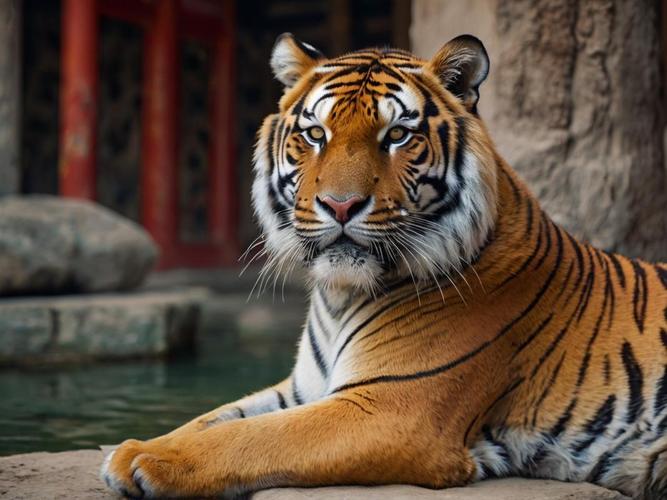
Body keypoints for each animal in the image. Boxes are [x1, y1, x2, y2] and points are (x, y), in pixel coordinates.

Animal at [101, 33, 667, 499]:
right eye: (315, 134)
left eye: (397, 136)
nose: (341, 205)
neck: (339, 295)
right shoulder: (303, 388)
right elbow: (215, 417)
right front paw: (134, 446)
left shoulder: (391, 408)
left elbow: (251, 435)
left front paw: (145, 459)